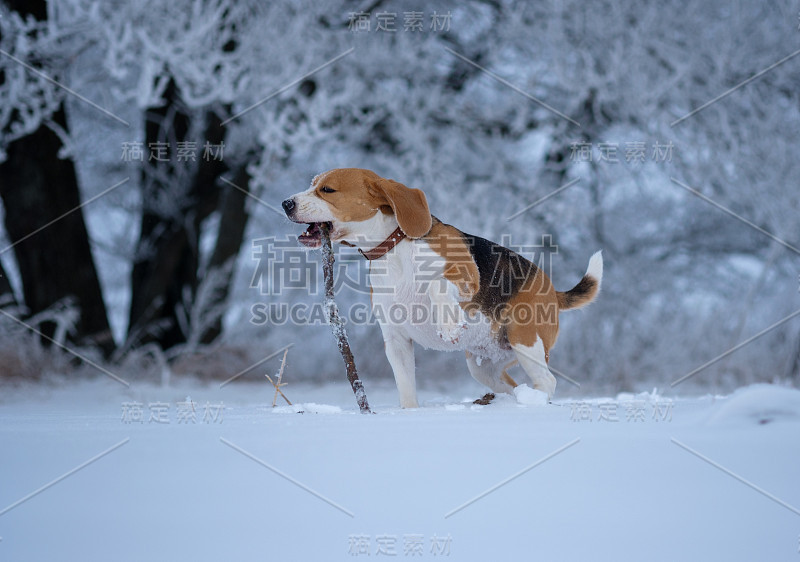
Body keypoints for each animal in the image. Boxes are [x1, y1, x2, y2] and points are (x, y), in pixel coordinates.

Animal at [282, 166, 600, 406]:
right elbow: (406, 389)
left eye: (327, 190)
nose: (286, 203)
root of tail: (553, 291)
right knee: (511, 386)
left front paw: (448, 324)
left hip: (526, 341)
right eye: (312, 184)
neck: (395, 248)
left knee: (548, 380)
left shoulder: (466, 275)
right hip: (484, 365)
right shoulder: (396, 339)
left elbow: (435, 284)